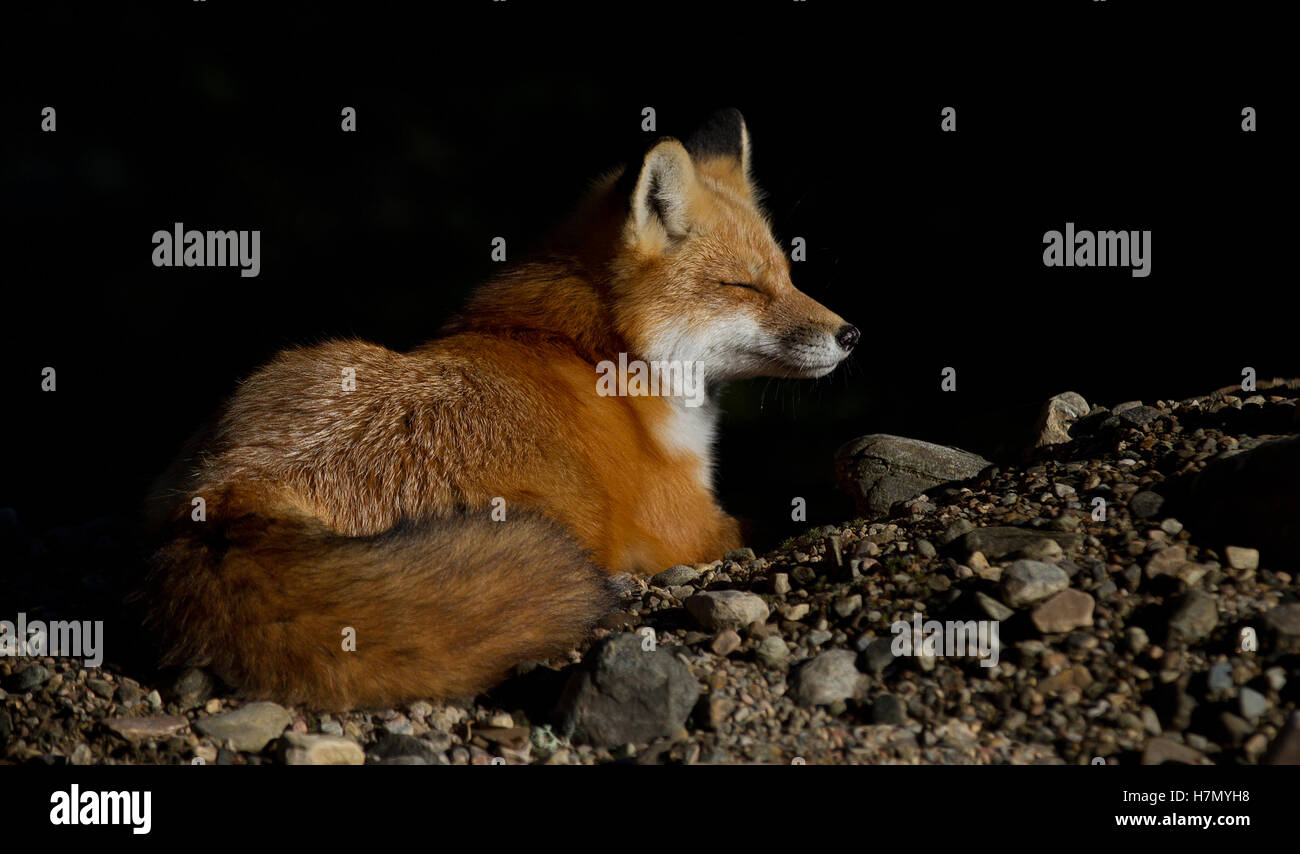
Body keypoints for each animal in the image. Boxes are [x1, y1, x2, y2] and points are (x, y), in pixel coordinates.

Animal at [143, 109, 859, 710]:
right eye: (743, 286)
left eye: (788, 275)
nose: (850, 334)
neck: (599, 353)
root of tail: (227, 498)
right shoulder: (691, 528)